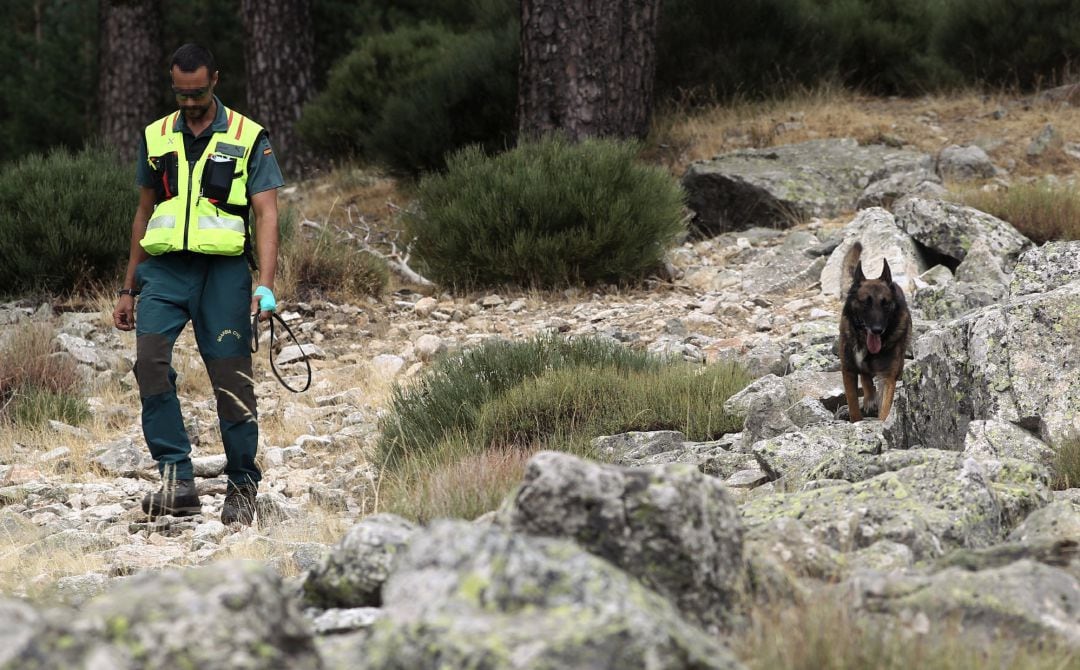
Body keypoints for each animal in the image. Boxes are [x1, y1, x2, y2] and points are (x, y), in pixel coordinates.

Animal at [838, 240, 907, 419]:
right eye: (865, 303)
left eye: (885, 304)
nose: (877, 330)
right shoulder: (848, 370)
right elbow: (853, 405)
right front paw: (856, 420)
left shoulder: (888, 376)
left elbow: (885, 407)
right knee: (865, 376)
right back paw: (869, 398)